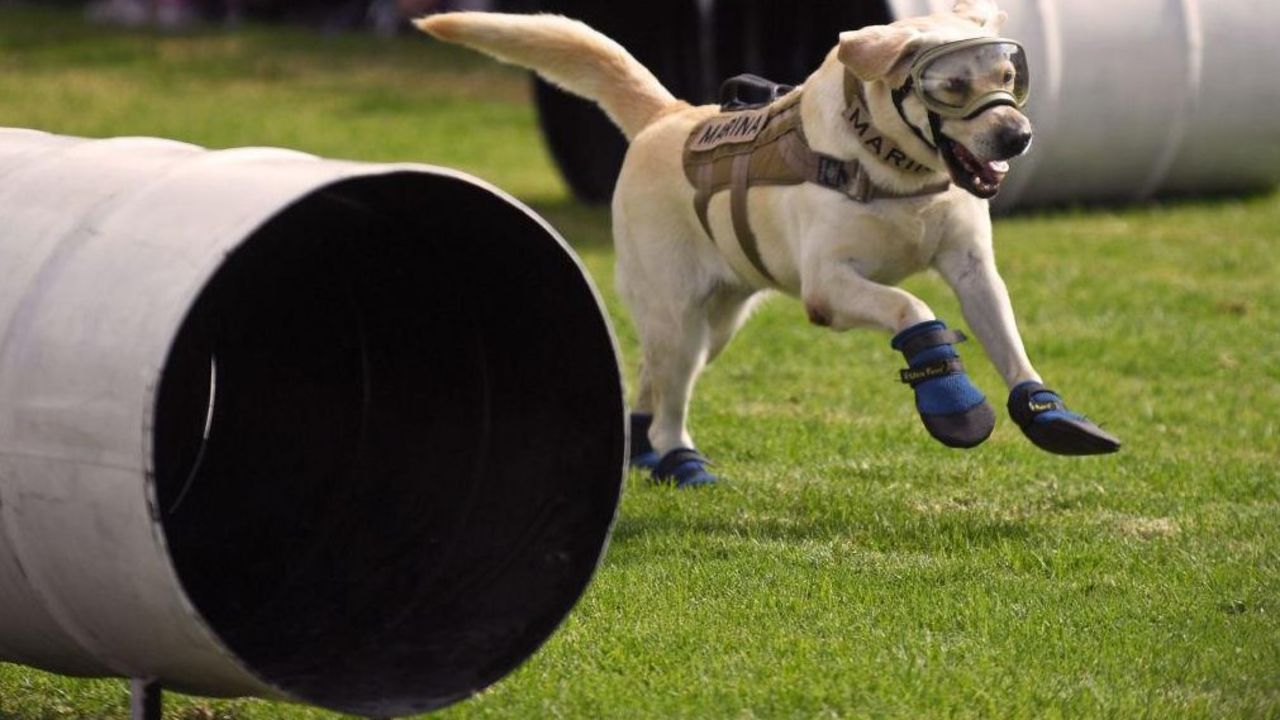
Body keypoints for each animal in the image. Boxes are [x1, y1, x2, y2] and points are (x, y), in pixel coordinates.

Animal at [419, 0, 1121, 484]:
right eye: (948, 86)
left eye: (1009, 73)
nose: (1018, 136)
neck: (895, 169)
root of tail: (669, 115)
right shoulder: (827, 286)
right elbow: (913, 307)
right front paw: (951, 398)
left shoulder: (974, 268)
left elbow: (1008, 341)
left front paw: (1049, 412)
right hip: (679, 317)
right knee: (670, 397)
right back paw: (679, 460)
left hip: (716, 325)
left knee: (650, 380)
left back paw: (645, 451)